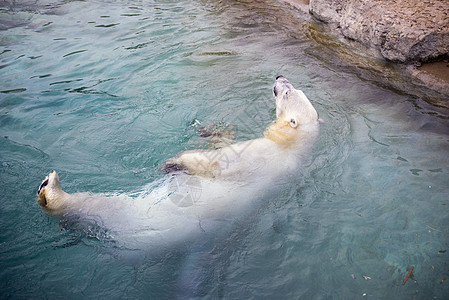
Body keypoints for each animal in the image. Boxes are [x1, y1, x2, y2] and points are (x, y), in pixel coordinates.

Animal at [37, 75, 318, 253]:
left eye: (288, 92)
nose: (280, 77)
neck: (291, 146)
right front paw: (210, 130)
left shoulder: (264, 157)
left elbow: (218, 163)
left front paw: (172, 163)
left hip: (136, 219)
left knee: (95, 206)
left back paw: (50, 188)